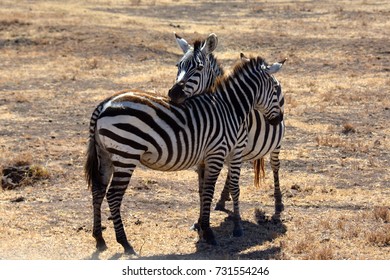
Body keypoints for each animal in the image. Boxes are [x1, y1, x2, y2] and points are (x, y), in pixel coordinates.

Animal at [84, 55, 284, 253]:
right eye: (276, 89)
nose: (279, 119)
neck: (229, 108)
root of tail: (104, 104)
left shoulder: (210, 157)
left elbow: (204, 191)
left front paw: (204, 227)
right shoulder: (219, 153)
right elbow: (214, 190)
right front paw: (215, 231)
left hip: (105, 155)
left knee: (98, 190)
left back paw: (99, 238)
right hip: (126, 154)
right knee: (113, 195)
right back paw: (124, 242)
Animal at [169, 34, 284, 220]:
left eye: (199, 68)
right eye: (178, 66)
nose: (173, 94)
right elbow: (203, 188)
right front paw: (200, 219)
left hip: (276, 142)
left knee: (275, 165)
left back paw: (278, 201)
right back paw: (223, 198)